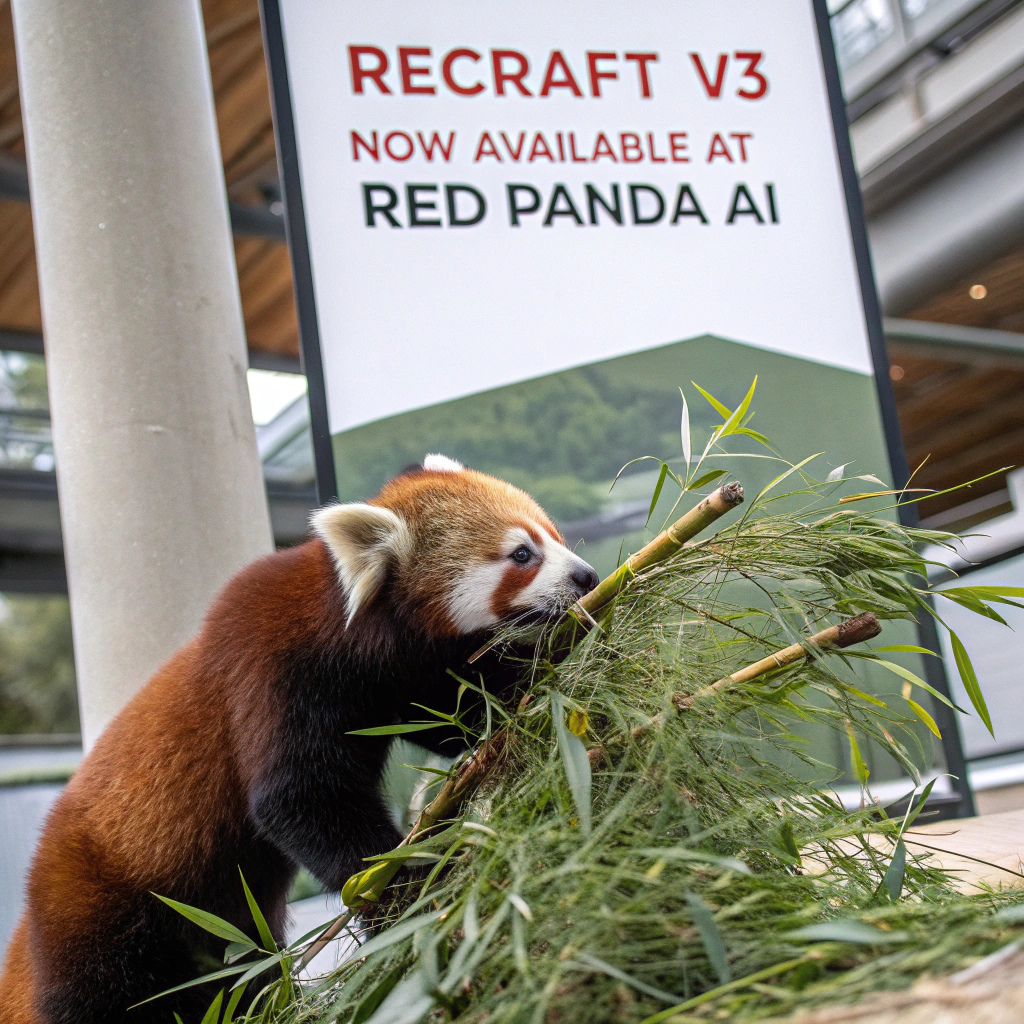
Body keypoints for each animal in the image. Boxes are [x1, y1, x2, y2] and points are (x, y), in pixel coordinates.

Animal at [0, 455, 599, 1024]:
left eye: (554, 535)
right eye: (521, 554)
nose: (588, 577)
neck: (351, 634)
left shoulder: (402, 678)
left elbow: (461, 713)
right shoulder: (273, 671)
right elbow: (300, 800)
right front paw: (410, 886)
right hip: (101, 917)